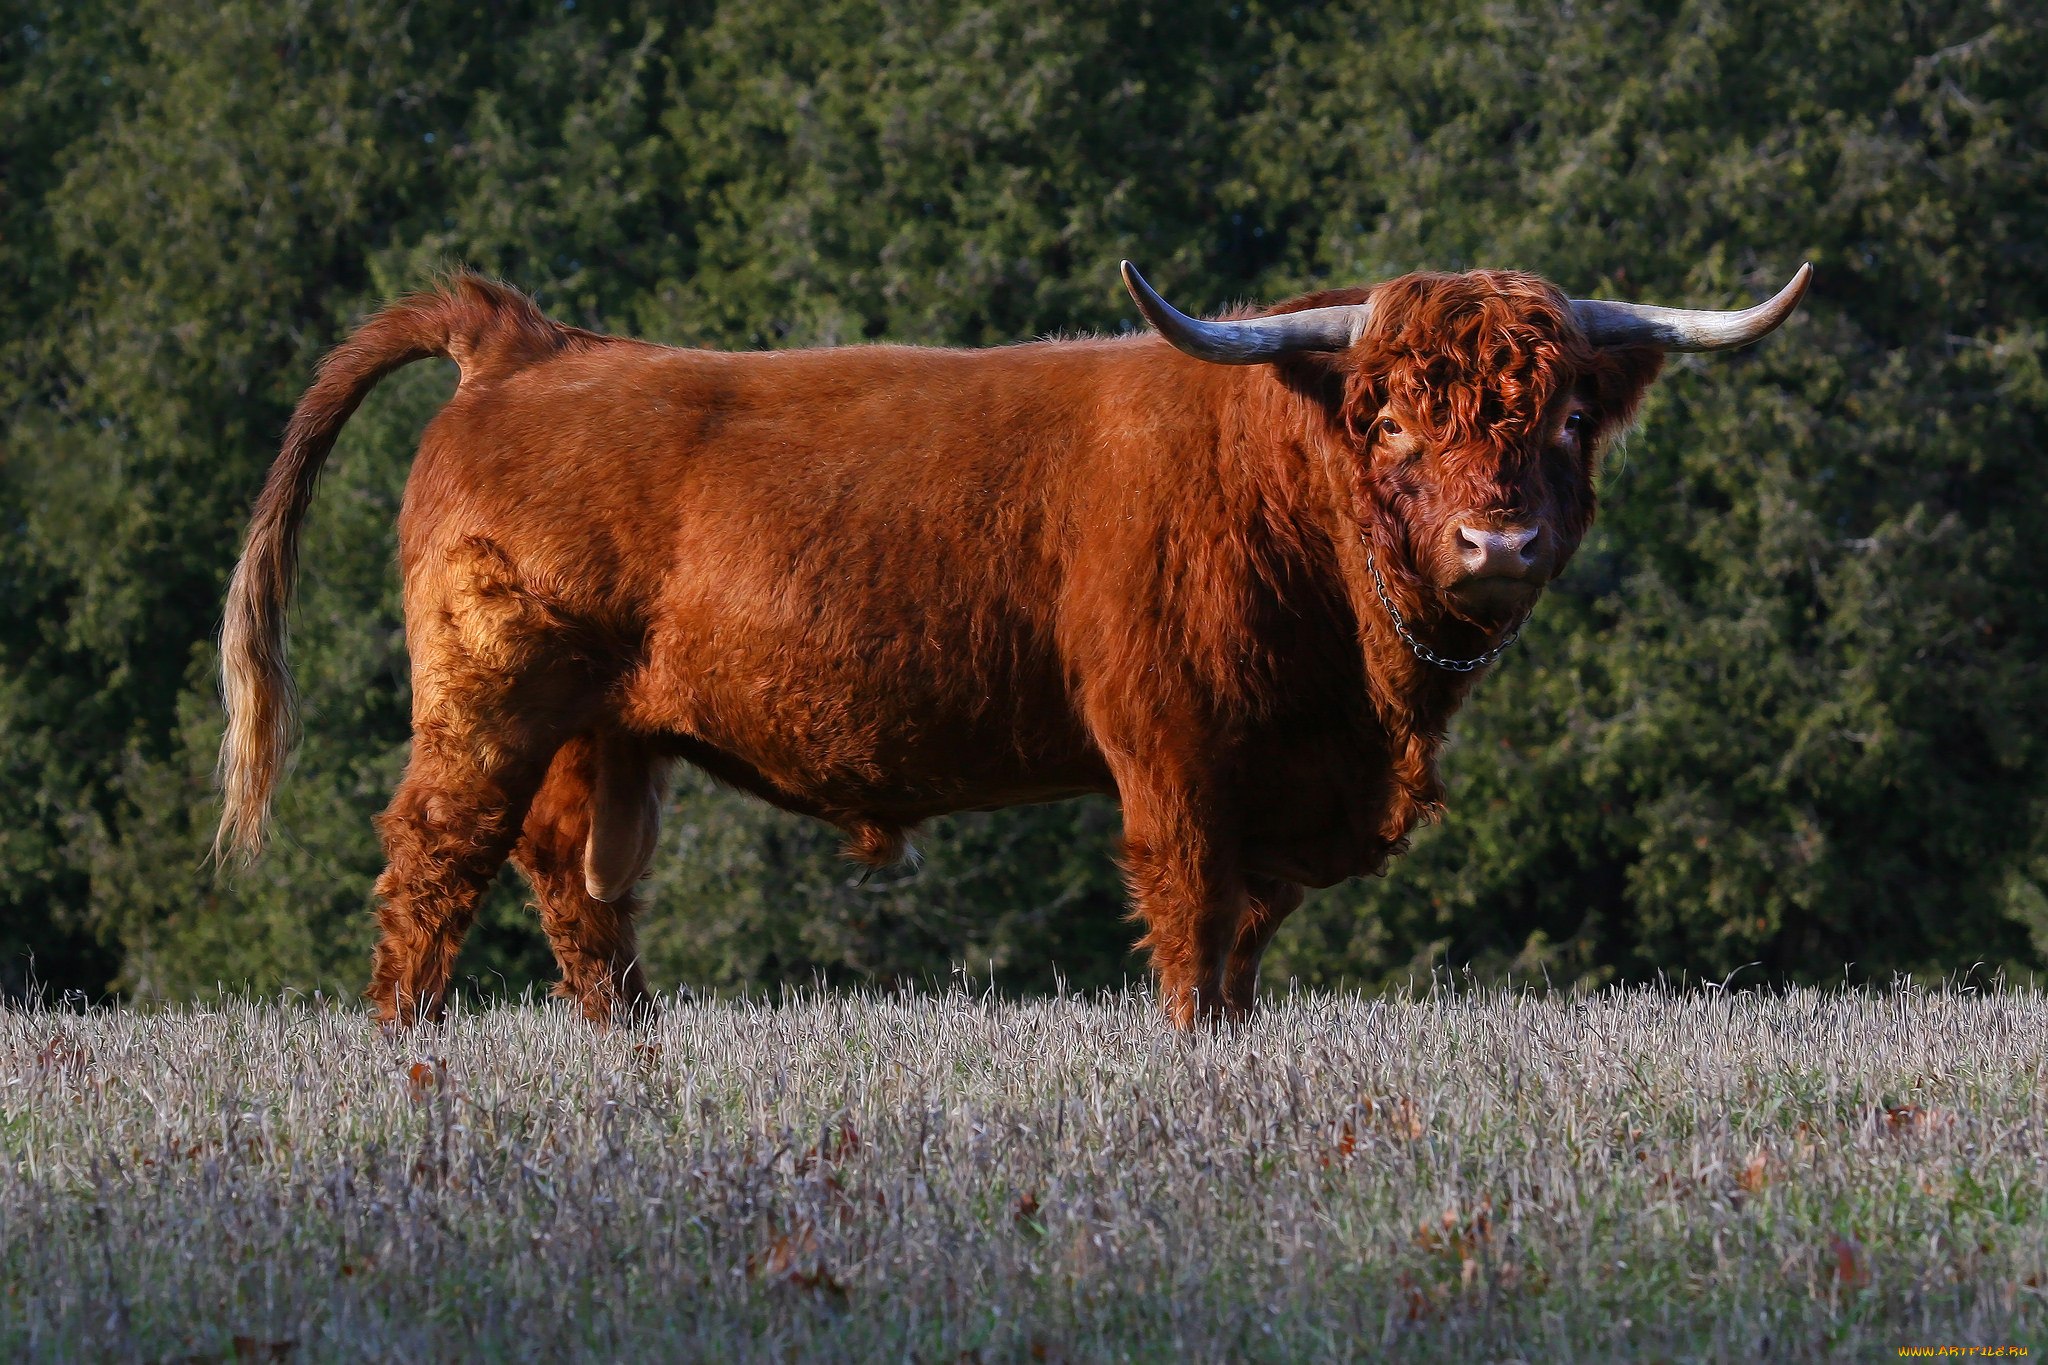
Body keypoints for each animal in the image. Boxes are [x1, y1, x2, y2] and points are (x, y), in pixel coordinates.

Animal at [211, 258, 1810, 1023]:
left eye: (1562, 416)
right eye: (1390, 420)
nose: (1499, 547)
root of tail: (528, 343)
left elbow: (1243, 952)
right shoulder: (1174, 760)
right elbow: (1193, 939)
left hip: (602, 739)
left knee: (580, 894)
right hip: (489, 701)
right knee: (433, 868)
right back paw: (408, 1056)